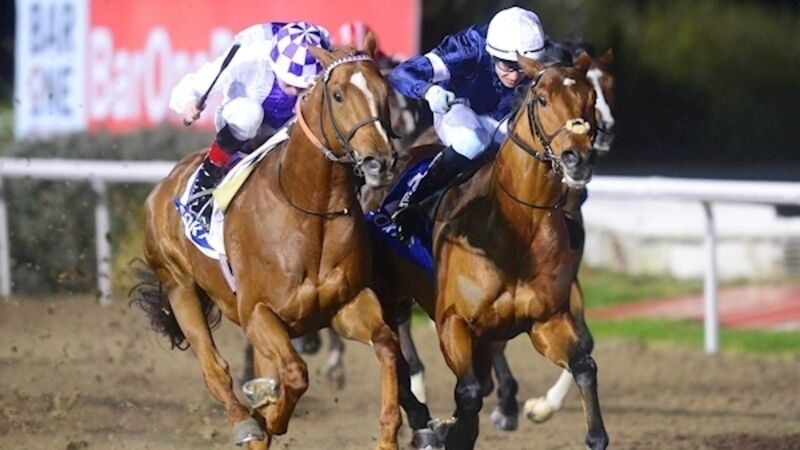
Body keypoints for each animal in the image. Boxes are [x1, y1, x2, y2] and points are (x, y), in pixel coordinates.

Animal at [131, 36, 433, 450]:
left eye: (384, 92)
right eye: (338, 94)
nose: (380, 161)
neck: (311, 209)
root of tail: (165, 184)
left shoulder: (349, 303)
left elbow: (388, 347)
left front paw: (392, 433)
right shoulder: (258, 312)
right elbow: (293, 373)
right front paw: (269, 415)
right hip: (179, 287)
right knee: (215, 370)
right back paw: (246, 421)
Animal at [372, 52, 608, 449]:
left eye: (590, 99)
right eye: (542, 99)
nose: (578, 159)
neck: (515, 228)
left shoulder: (546, 320)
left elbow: (585, 365)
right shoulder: (454, 322)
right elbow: (467, 393)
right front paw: (448, 429)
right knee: (393, 355)